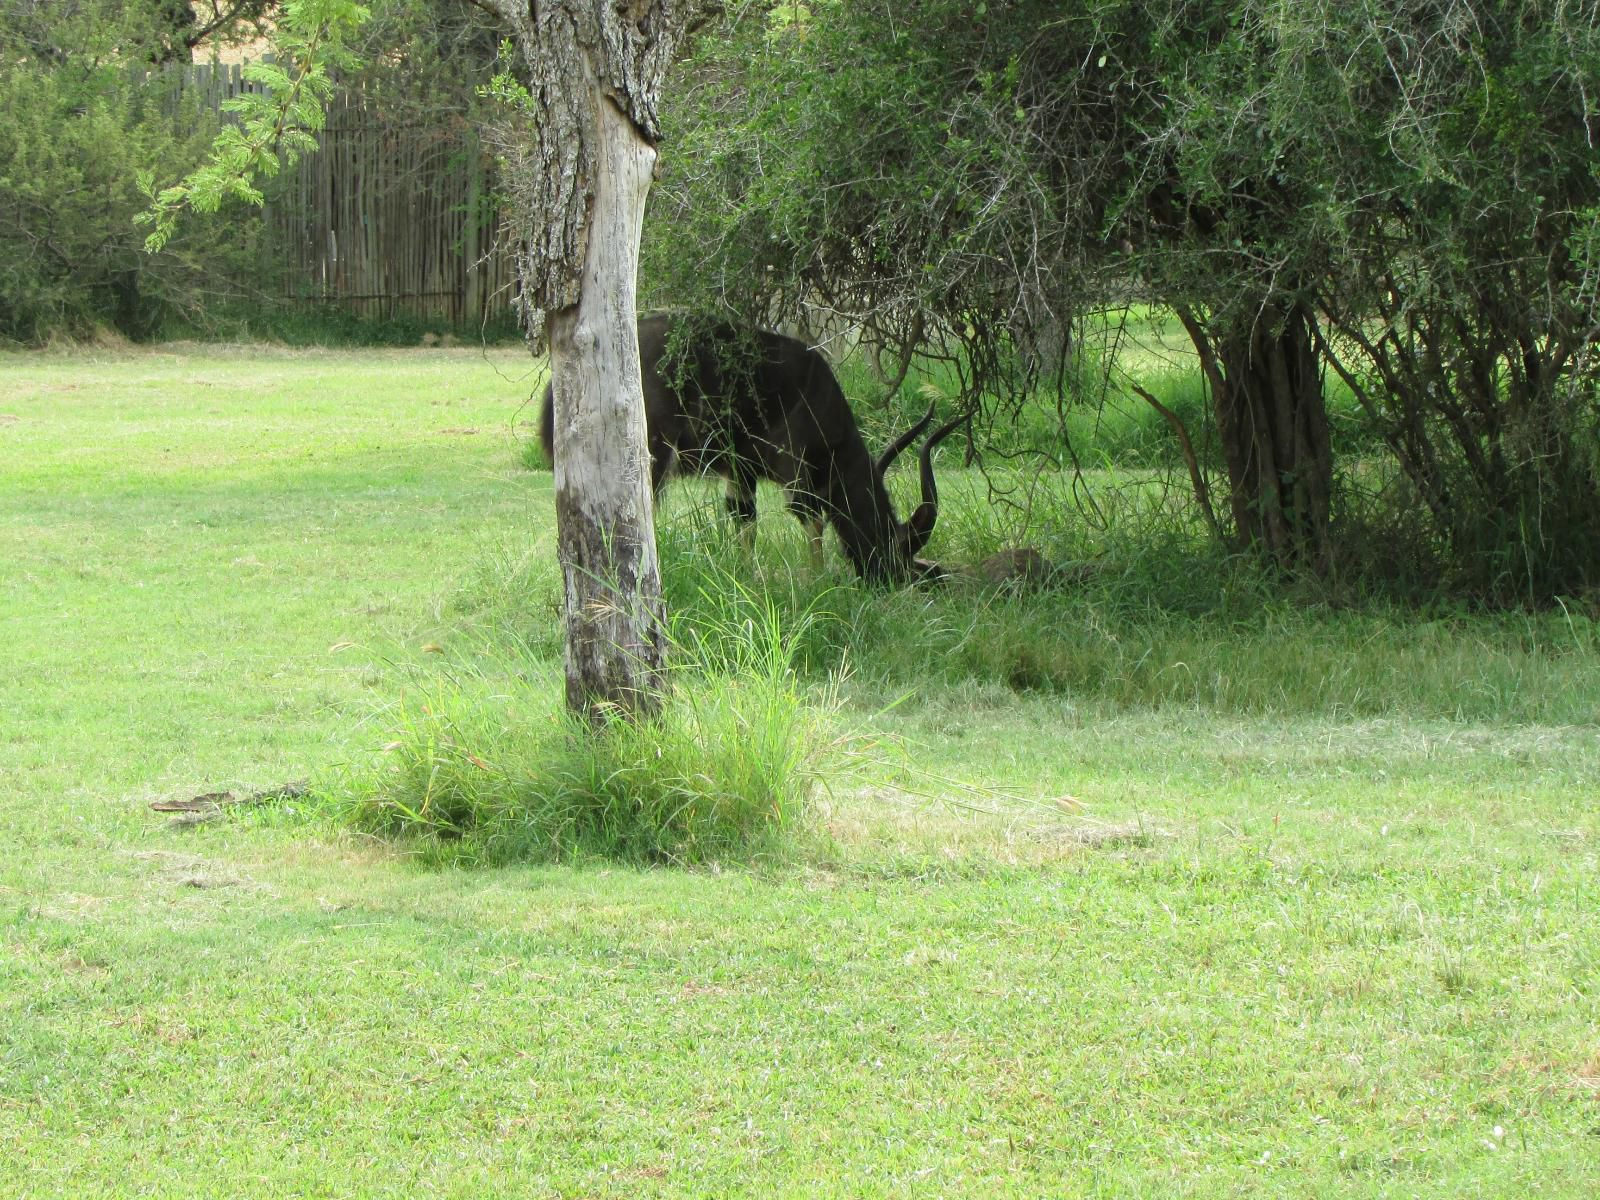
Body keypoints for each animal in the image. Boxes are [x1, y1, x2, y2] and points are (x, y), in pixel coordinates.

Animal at [537, 316, 960, 585]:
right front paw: (817, 580)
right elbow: (812, 520)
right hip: (653, 457)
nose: (891, 582)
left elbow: (745, 522)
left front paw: (745, 578)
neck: (819, 397)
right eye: (898, 549)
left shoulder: (741, 471)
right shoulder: (794, 470)